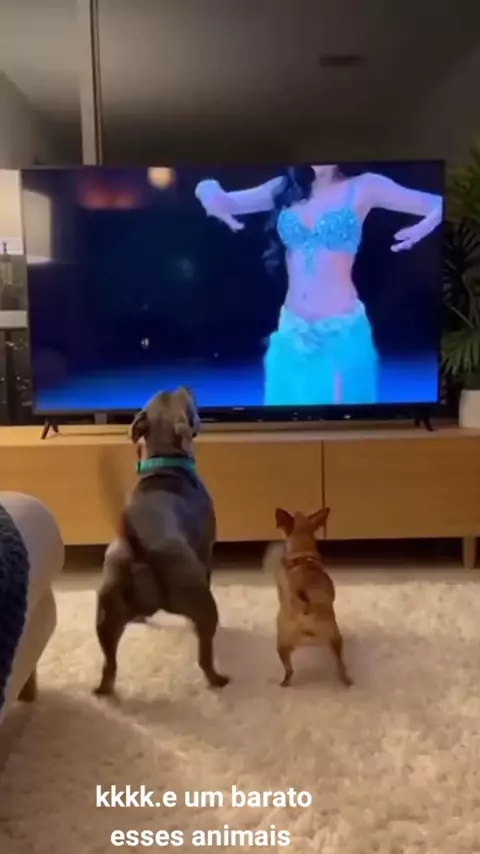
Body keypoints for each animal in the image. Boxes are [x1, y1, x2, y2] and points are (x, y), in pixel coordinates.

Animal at [93, 385, 230, 696]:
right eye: (189, 404)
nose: (185, 385)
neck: (167, 459)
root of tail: (137, 547)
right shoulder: (206, 552)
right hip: (202, 602)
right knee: (205, 655)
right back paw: (217, 679)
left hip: (106, 614)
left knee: (109, 665)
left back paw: (105, 689)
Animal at [264, 506, 352, 688]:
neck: (302, 555)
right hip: (334, 637)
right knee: (340, 666)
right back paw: (346, 681)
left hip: (283, 642)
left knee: (289, 669)